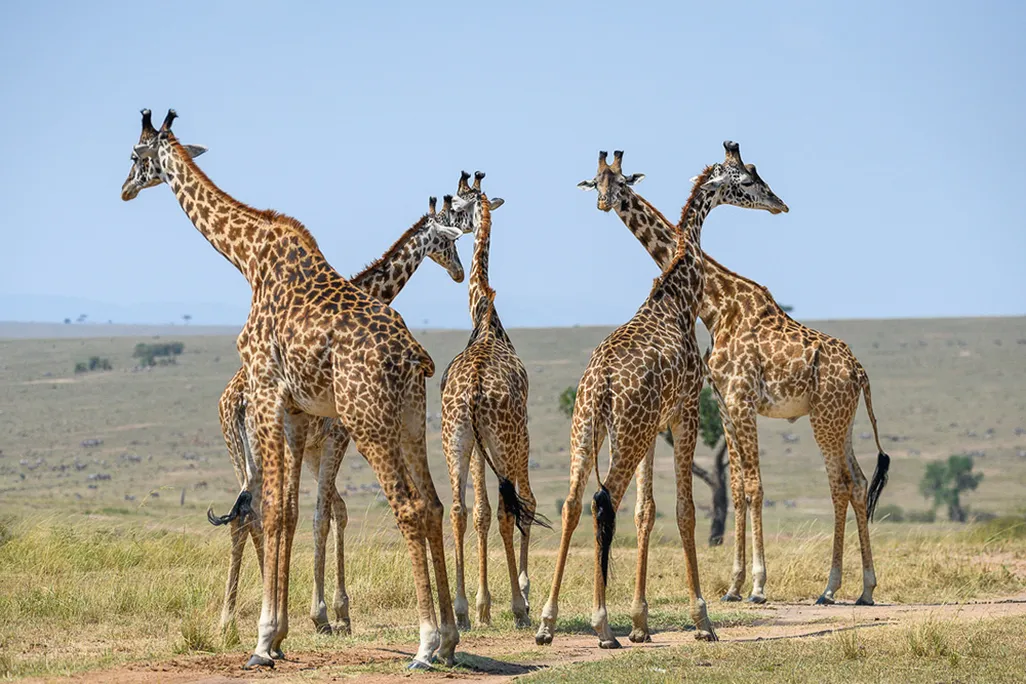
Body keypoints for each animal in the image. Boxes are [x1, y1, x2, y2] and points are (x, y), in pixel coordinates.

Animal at [209, 194, 470, 638]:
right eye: (448, 240)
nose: (458, 271)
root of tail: (235, 402)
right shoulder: (338, 435)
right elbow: (323, 516)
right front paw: (325, 613)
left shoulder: (317, 445)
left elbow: (332, 510)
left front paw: (330, 610)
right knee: (252, 513)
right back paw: (245, 613)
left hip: (239, 453)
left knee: (246, 514)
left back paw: (233, 617)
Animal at [535, 142, 788, 649]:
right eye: (748, 179)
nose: (779, 203)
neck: (679, 294)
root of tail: (601, 384)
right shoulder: (685, 410)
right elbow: (685, 511)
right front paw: (702, 619)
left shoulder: (654, 425)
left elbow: (645, 511)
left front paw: (640, 623)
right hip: (627, 432)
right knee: (602, 500)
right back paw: (601, 626)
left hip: (588, 429)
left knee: (573, 503)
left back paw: (548, 623)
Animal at [576, 148, 891, 608]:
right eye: (595, 182)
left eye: (619, 183)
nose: (780, 203)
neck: (716, 304)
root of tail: (860, 371)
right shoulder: (725, 402)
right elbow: (740, 489)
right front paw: (734, 586)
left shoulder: (741, 399)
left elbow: (756, 487)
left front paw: (758, 586)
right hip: (842, 419)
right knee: (860, 481)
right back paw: (865, 587)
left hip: (826, 419)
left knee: (840, 483)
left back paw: (831, 587)